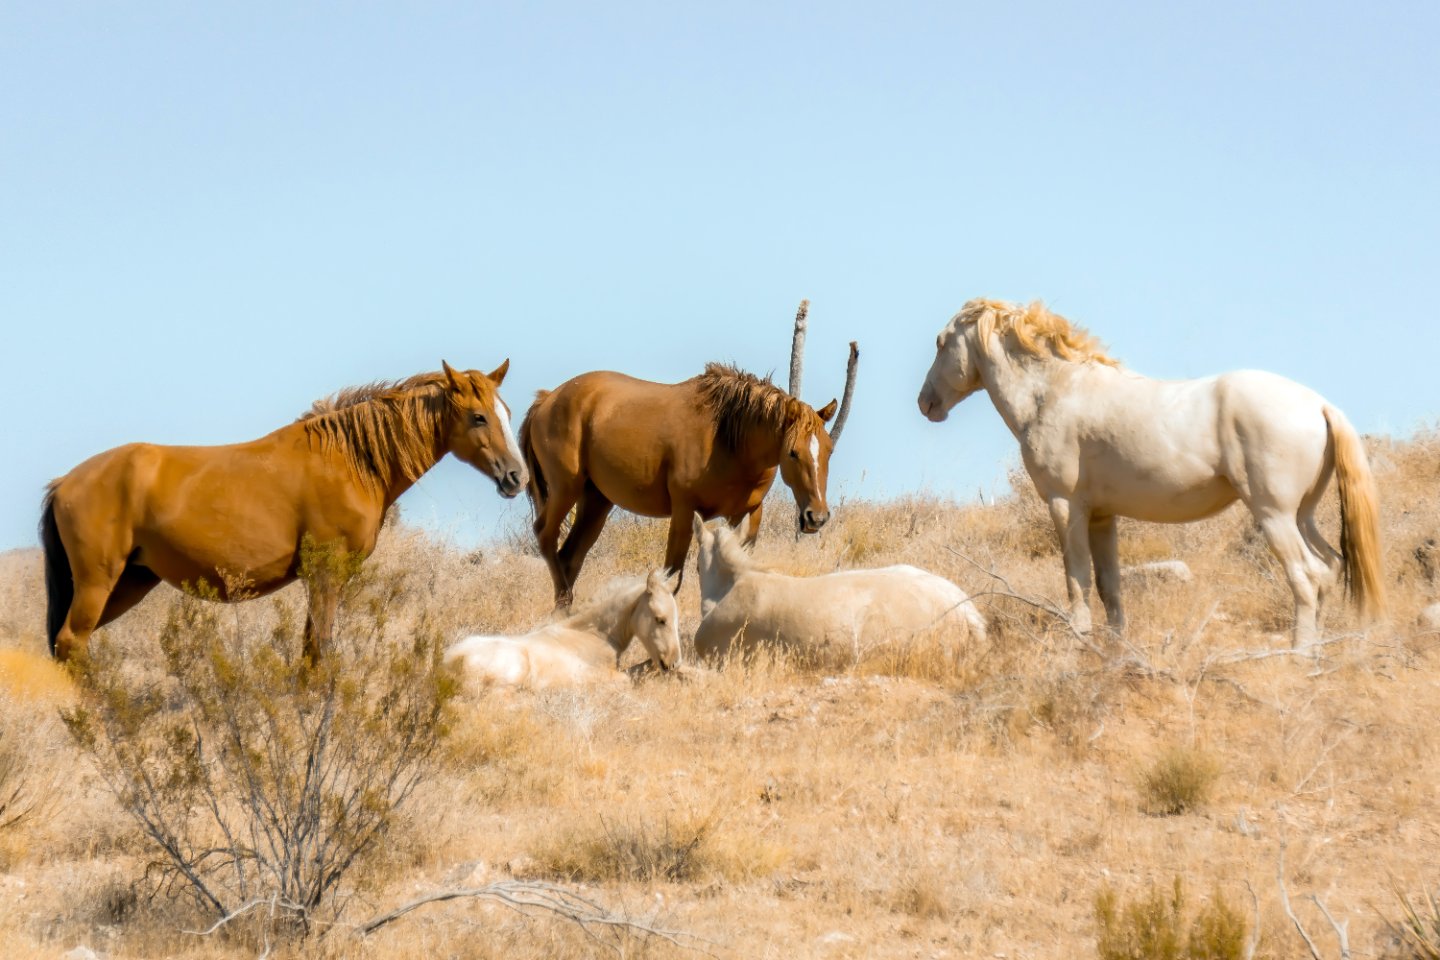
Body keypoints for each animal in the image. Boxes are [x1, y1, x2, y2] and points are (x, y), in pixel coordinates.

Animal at [41, 361, 527, 663]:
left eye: (505, 411)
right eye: (479, 417)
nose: (516, 476)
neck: (348, 460)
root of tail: (64, 482)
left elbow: (310, 648)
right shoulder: (326, 576)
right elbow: (322, 649)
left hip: (129, 583)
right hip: (98, 582)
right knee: (70, 642)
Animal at [520, 363, 840, 607]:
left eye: (829, 449)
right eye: (793, 452)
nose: (817, 516)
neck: (728, 438)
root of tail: (547, 399)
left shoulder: (747, 513)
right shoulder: (684, 511)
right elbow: (672, 576)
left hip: (596, 501)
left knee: (570, 556)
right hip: (565, 489)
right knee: (546, 536)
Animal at [917, 298, 1385, 647]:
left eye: (941, 343)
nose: (926, 403)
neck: (1055, 392)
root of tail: (1320, 405)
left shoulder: (1066, 506)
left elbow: (1076, 581)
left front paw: (1079, 645)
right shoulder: (1102, 516)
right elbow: (1109, 587)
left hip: (1274, 516)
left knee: (1306, 576)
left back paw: (1300, 656)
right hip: (1302, 516)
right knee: (1330, 567)